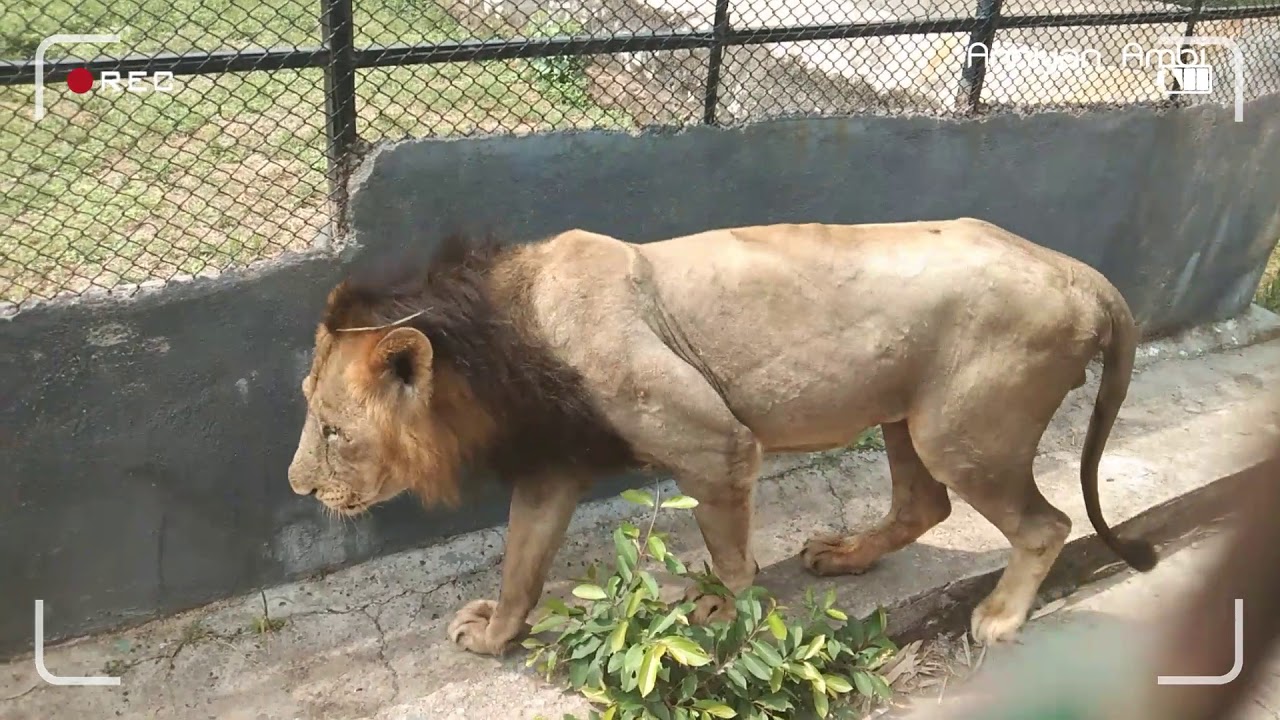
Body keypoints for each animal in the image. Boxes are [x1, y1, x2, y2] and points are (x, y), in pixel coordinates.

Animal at [288, 219, 1162, 655]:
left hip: (960, 429)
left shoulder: (715, 442)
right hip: (906, 414)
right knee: (925, 507)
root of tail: (1082, 273)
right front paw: (494, 637)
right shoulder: (554, 462)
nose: (300, 487)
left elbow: (729, 547)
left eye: (332, 432)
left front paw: (721, 611)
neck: (501, 335)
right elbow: (520, 565)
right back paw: (844, 556)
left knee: (1045, 524)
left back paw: (1001, 619)